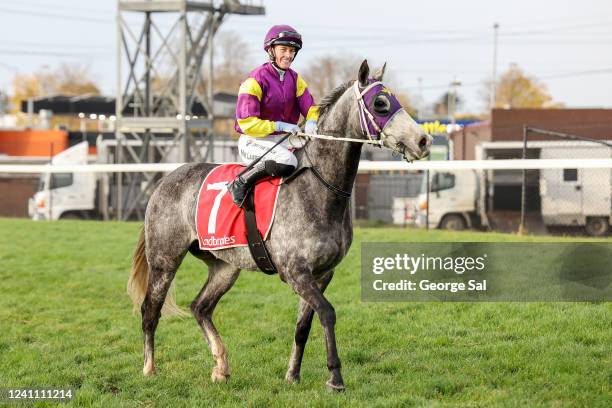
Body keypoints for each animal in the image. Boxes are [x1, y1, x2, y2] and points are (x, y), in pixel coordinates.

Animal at [128, 60, 430, 392]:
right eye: (380, 103)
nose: (423, 140)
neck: (319, 188)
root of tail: (163, 181)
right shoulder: (295, 271)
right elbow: (327, 313)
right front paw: (335, 377)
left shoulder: (322, 273)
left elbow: (303, 325)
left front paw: (293, 375)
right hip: (165, 260)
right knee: (150, 310)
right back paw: (149, 368)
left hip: (224, 266)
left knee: (200, 307)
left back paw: (221, 366)